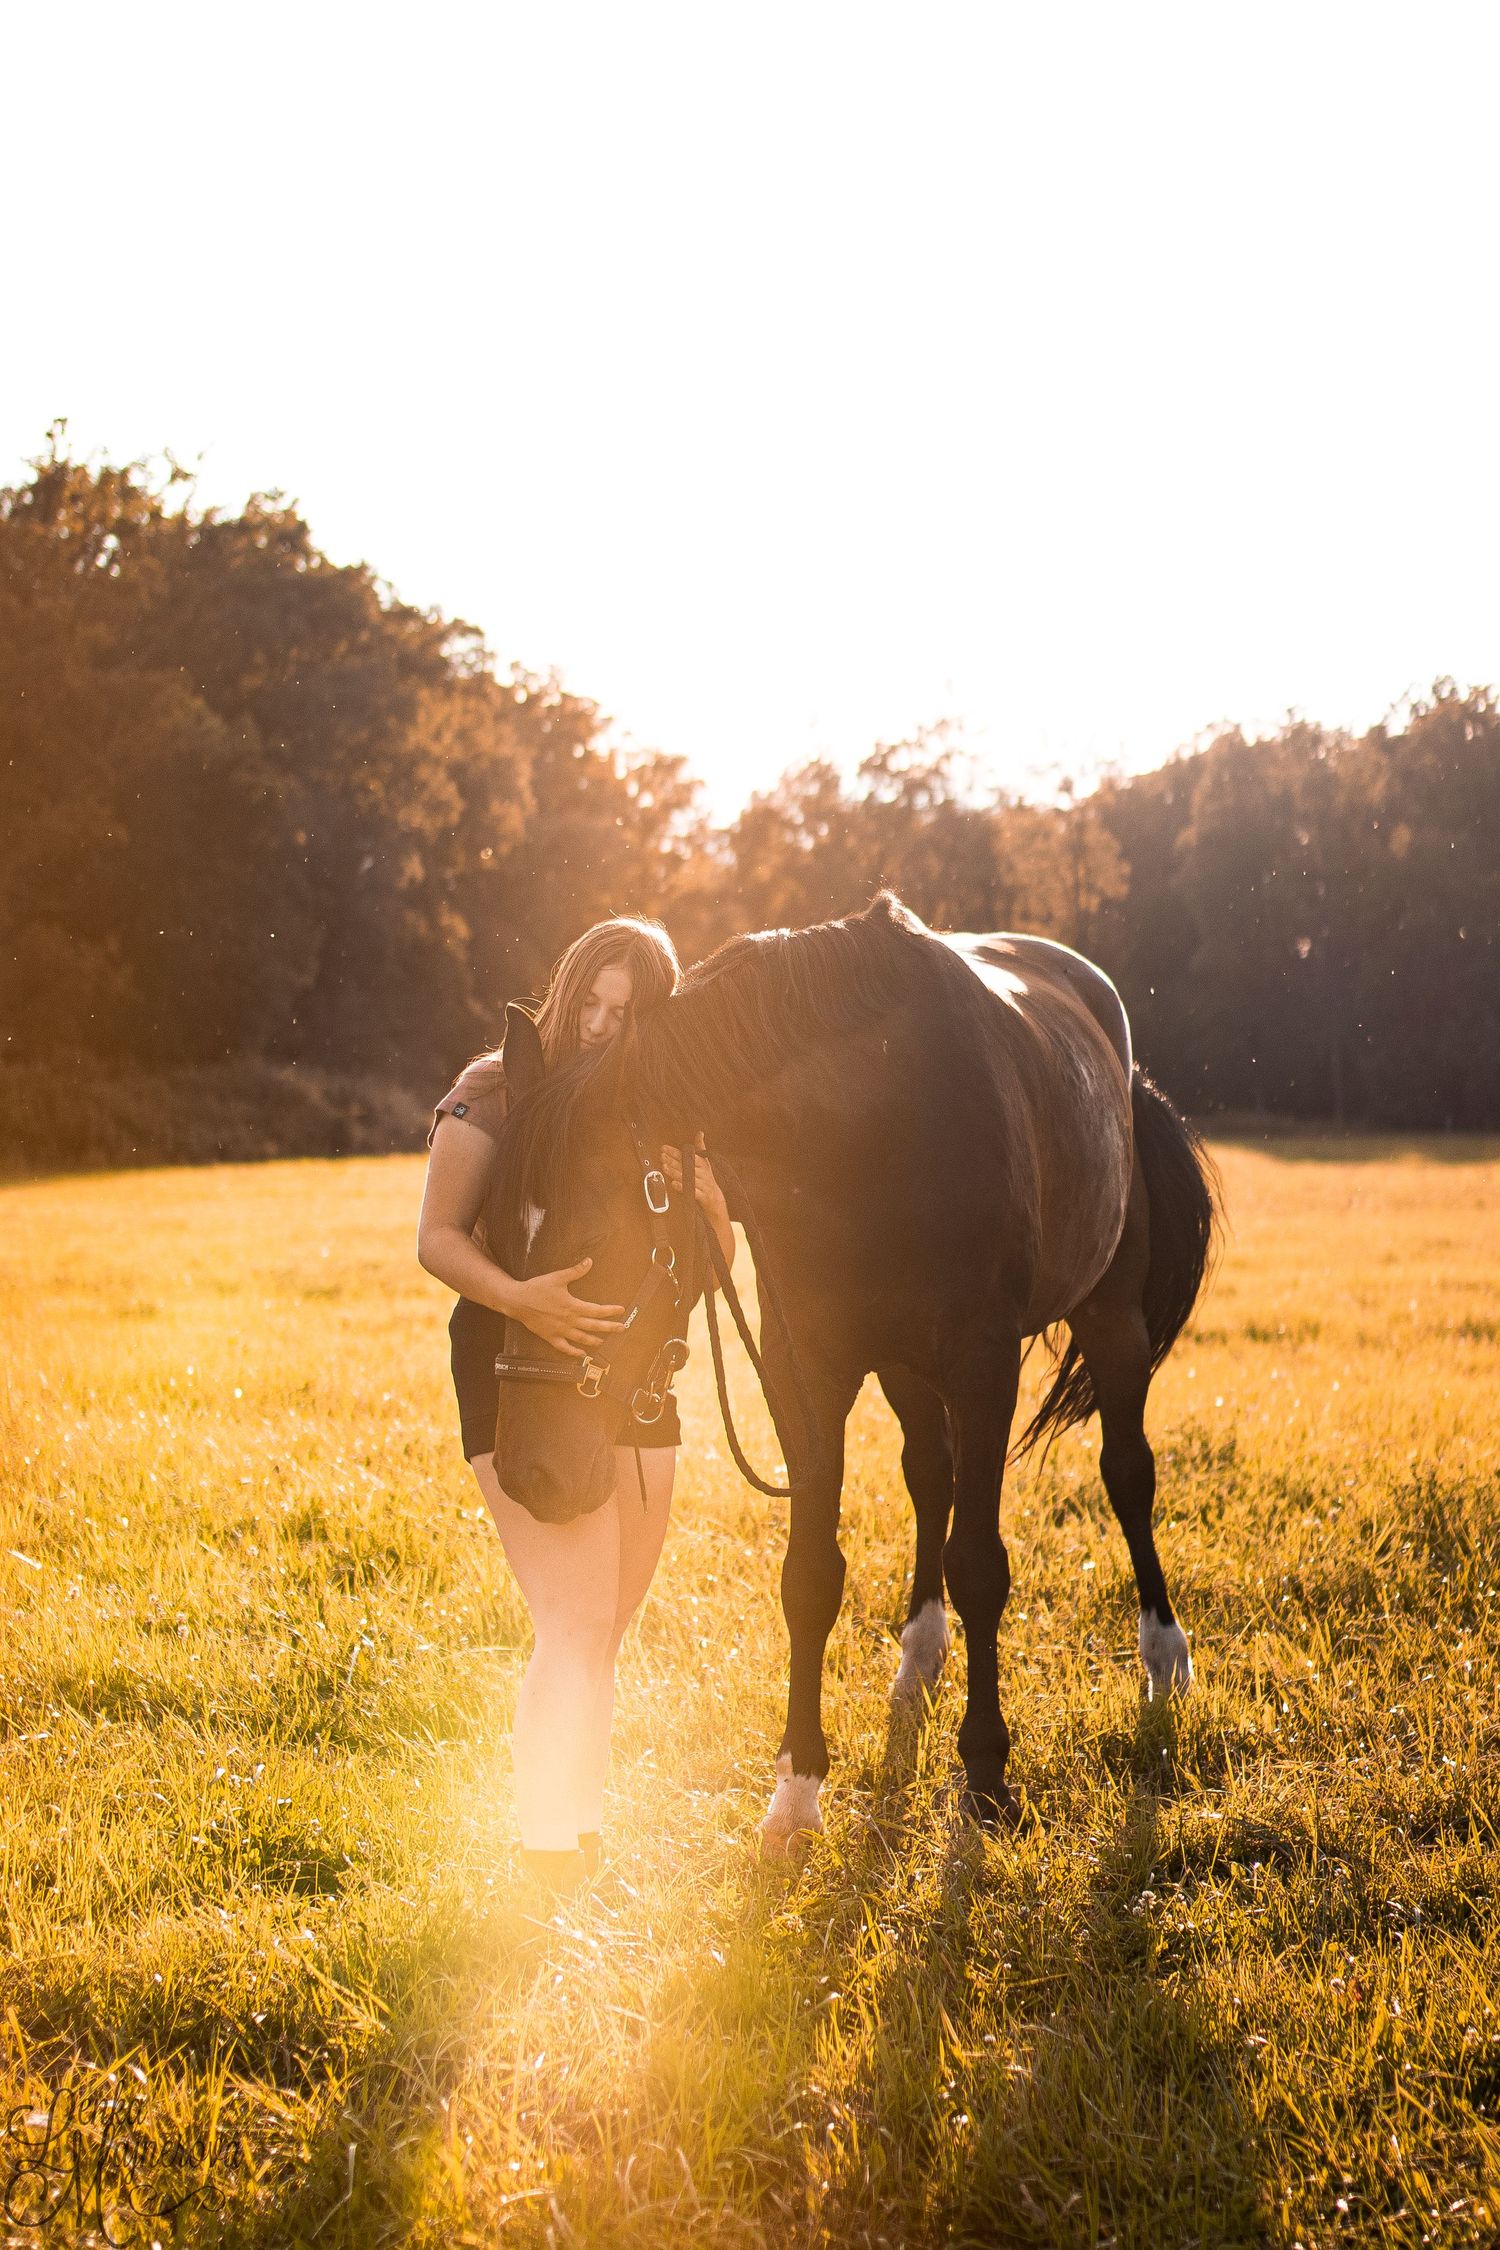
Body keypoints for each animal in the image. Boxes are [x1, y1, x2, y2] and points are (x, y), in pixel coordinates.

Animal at [488, 892, 1221, 1853]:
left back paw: (1164, 1654)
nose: (530, 1473)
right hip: (906, 1367)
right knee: (931, 1477)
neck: (866, 1129)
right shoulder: (808, 1368)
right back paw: (920, 1653)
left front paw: (986, 1773)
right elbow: (810, 1575)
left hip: (1111, 1323)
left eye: (597, 1242)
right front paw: (798, 1789)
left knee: (1128, 1474)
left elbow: (982, 1565)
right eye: (498, 1233)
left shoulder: (983, 1363)